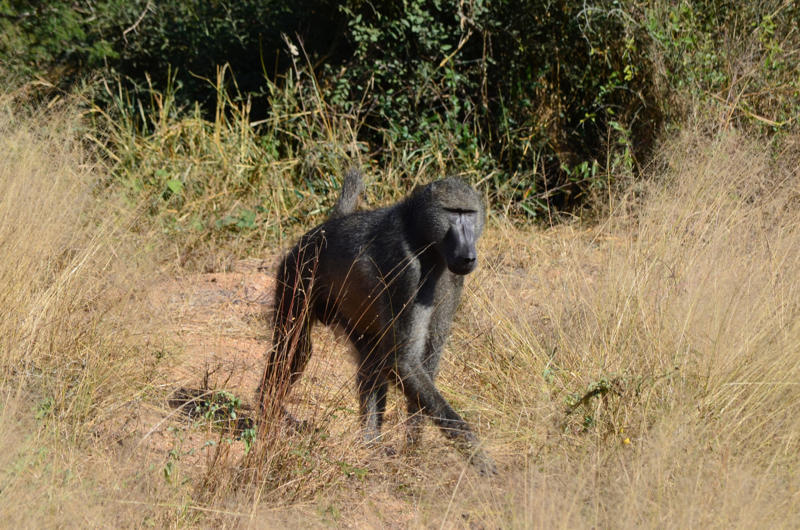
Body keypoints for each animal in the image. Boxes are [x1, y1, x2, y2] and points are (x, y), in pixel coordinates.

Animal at [257, 168, 496, 475]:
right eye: (453, 213)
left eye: (469, 213)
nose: (468, 254)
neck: (422, 238)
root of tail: (323, 228)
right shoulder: (406, 271)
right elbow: (402, 360)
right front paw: (476, 453)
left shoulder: (453, 279)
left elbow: (426, 361)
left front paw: (413, 449)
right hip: (297, 273)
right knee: (296, 349)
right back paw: (267, 413)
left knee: (369, 360)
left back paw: (369, 444)